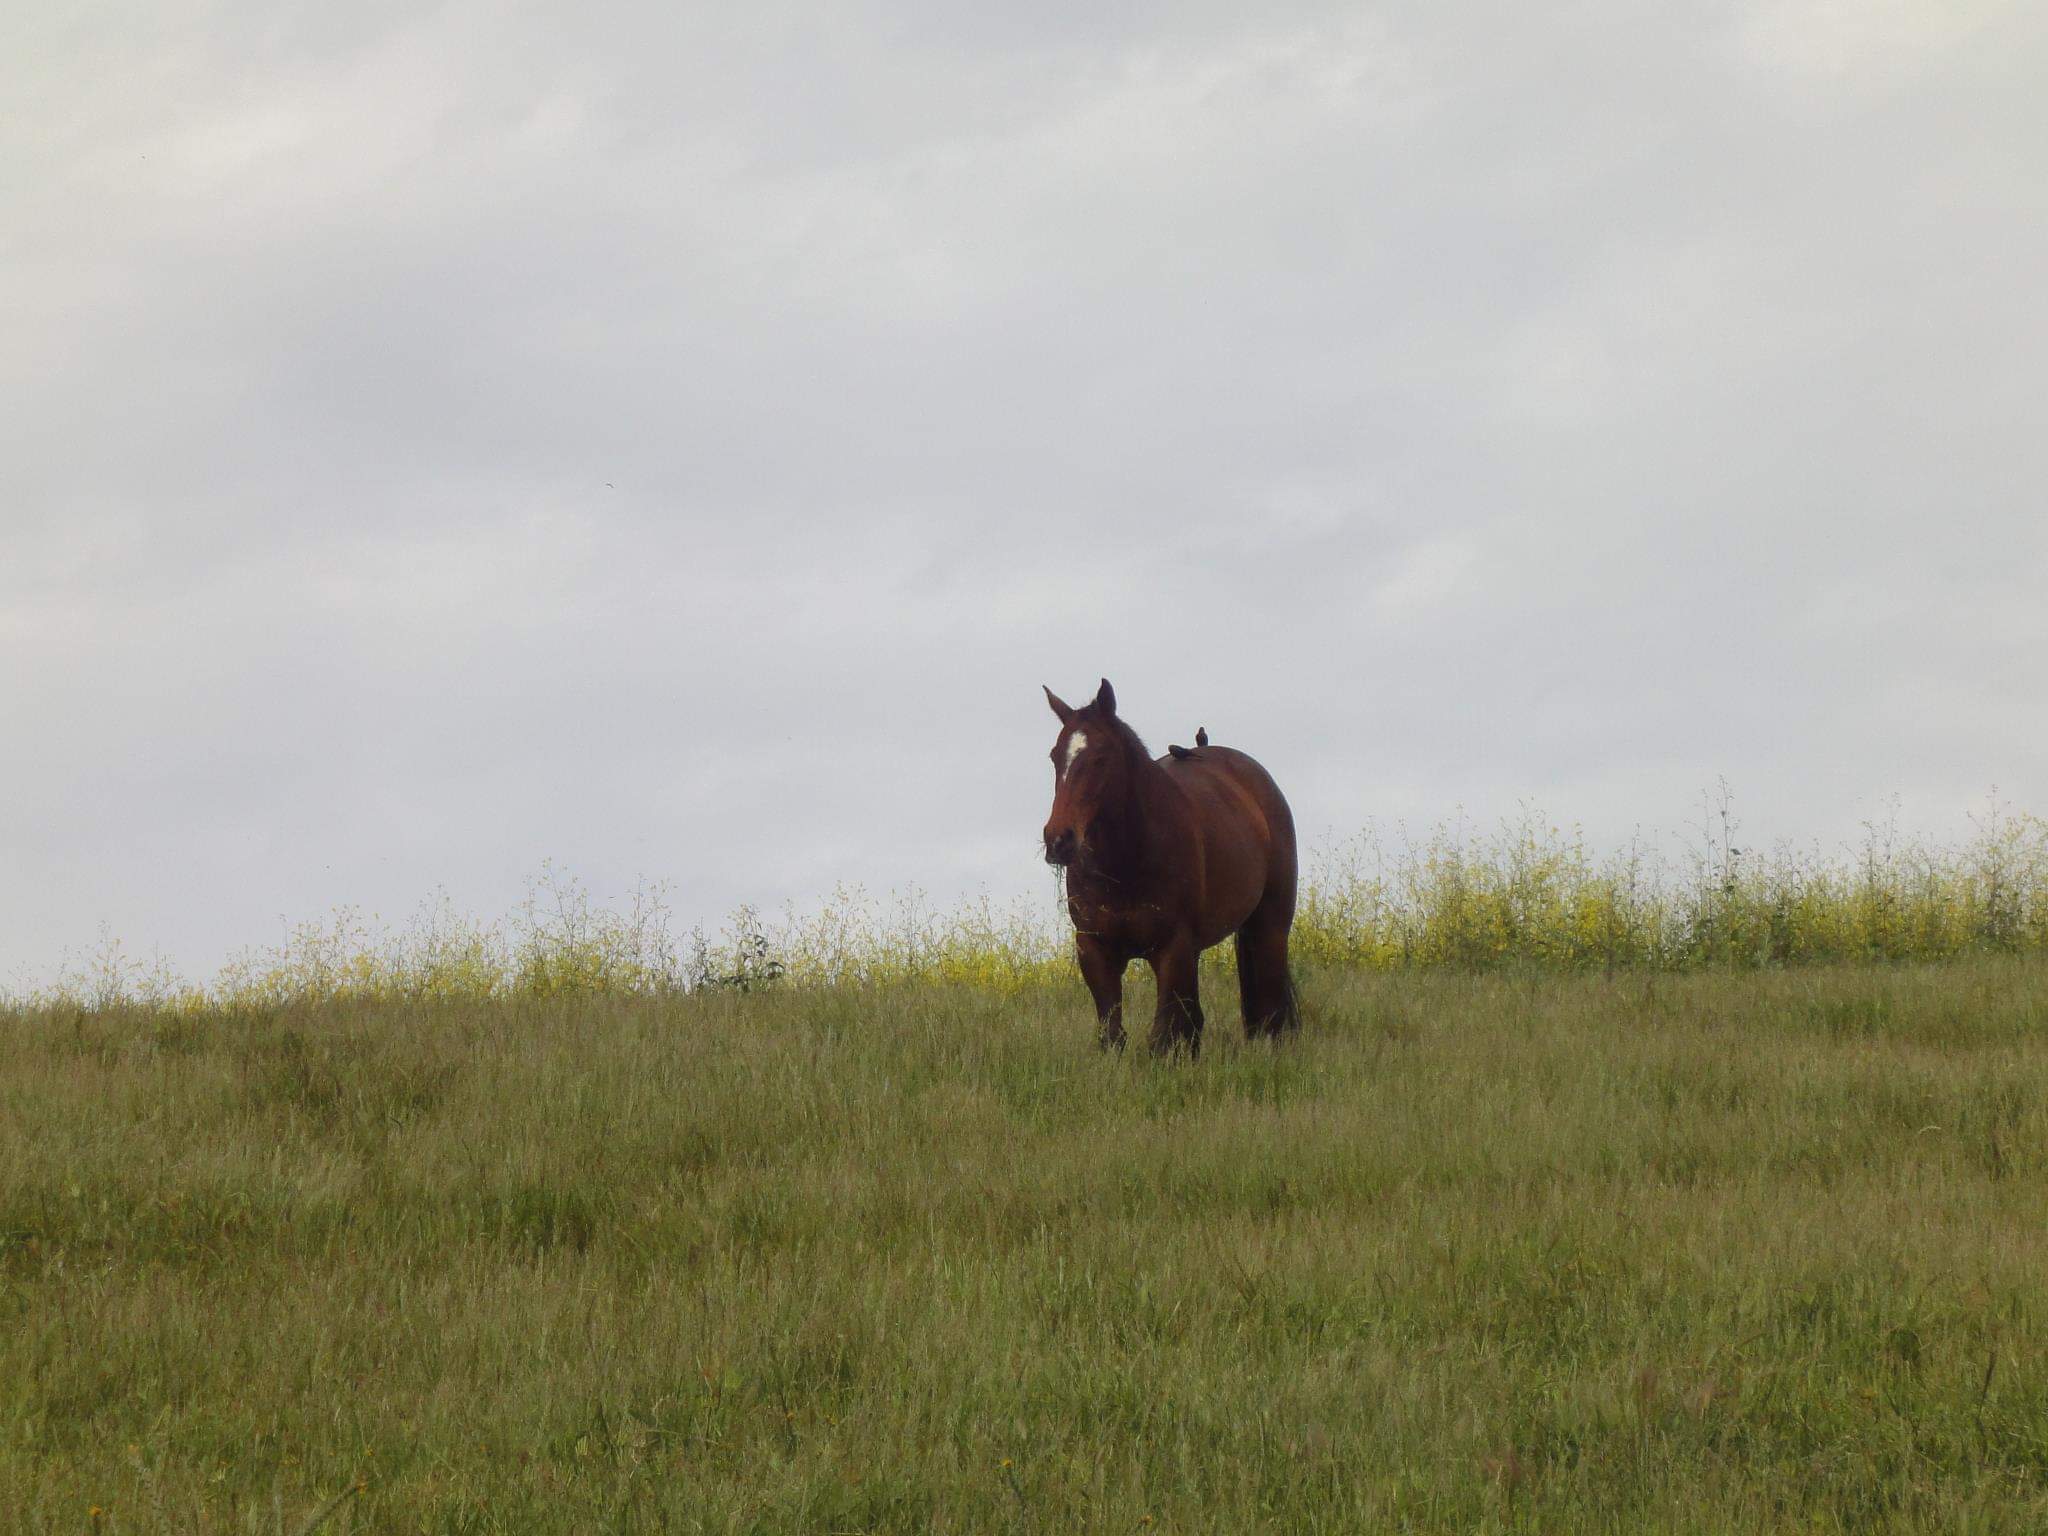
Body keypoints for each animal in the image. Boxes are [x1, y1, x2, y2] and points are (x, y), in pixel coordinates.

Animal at [1040, 678, 1299, 1056]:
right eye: (1055, 756)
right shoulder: (1095, 950)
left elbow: (1162, 1037)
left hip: (1270, 926)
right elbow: (1113, 1035)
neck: (1124, 867)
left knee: (1271, 1005)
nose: (1058, 839)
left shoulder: (1172, 948)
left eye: (1101, 757)